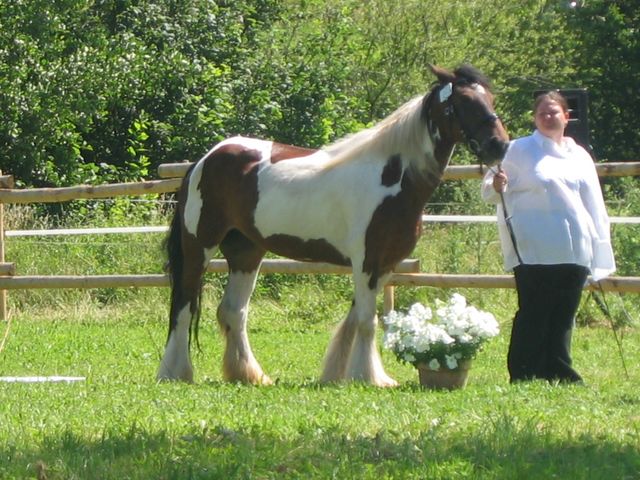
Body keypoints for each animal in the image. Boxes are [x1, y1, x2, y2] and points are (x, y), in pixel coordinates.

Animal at [156, 63, 510, 386]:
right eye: (464, 102)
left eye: (490, 98)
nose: (500, 145)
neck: (393, 178)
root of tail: (205, 159)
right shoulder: (366, 262)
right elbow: (367, 321)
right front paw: (368, 378)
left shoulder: (385, 265)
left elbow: (357, 320)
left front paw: (344, 373)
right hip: (199, 246)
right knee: (184, 306)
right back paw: (175, 373)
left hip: (246, 251)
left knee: (233, 311)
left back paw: (249, 375)